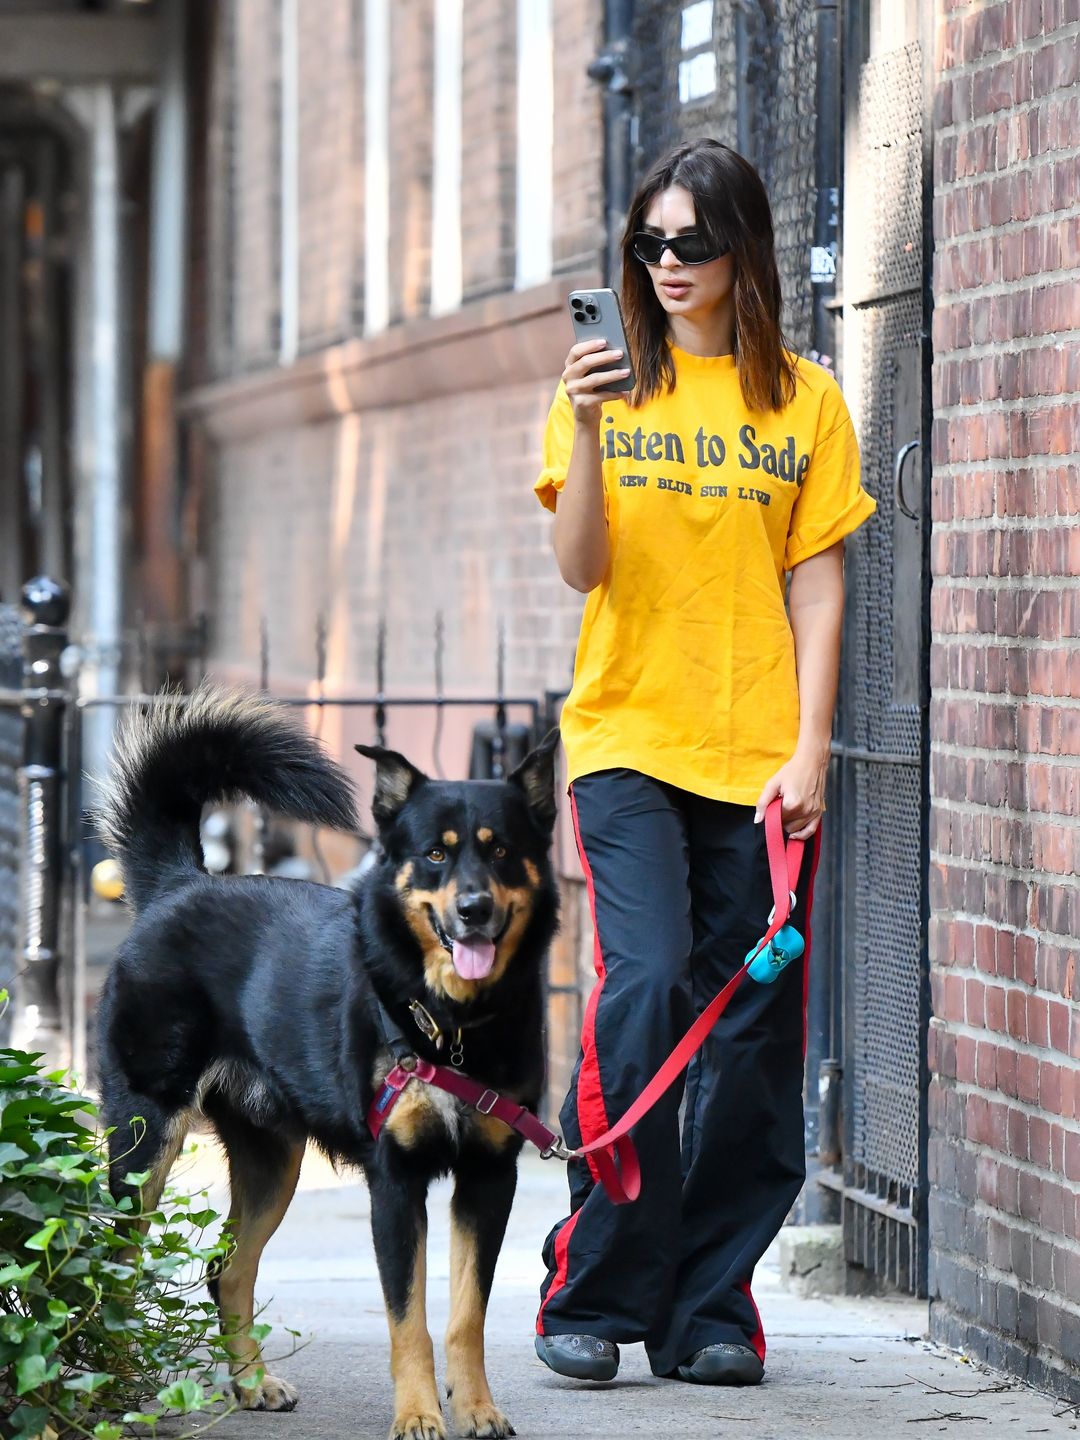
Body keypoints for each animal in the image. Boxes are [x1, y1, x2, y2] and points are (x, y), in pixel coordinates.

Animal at [97, 688, 561, 1440]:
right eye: (435, 854)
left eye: (503, 852)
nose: (474, 910)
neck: (449, 1024)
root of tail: (179, 885)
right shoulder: (395, 1184)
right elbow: (410, 1323)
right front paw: (418, 1415)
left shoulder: (489, 1179)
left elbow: (466, 1317)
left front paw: (477, 1409)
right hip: (144, 1144)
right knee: (116, 1264)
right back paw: (110, 1385)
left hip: (273, 1161)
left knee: (227, 1270)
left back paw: (252, 1383)